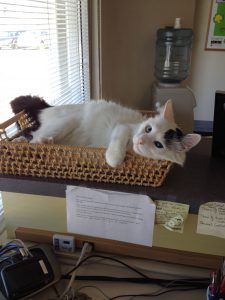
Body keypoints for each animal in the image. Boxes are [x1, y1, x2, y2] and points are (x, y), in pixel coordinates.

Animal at [10, 95, 202, 168]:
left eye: (158, 145)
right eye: (148, 128)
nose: (139, 140)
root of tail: (51, 107)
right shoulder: (123, 127)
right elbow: (117, 147)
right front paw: (114, 158)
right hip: (65, 123)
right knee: (33, 139)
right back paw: (32, 142)